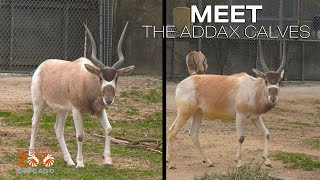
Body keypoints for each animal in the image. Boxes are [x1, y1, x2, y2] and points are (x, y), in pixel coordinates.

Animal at [28, 21, 134, 168]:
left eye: (116, 78)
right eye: (100, 77)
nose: (108, 100)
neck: (88, 81)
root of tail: (41, 66)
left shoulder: (100, 110)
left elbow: (108, 129)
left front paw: (107, 161)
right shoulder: (77, 110)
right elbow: (80, 135)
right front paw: (80, 163)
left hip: (62, 110)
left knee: (58, 129)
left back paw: (69, 161)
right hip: (39, 104)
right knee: (34, 124)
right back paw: (31, 156)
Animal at [166, 40, 286, 168]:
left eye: (279, 81)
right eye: (266, 80)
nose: (273, 98)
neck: (252, 87)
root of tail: (180, 85)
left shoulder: (255, 117)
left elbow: (266, 133)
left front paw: (267, 160)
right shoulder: (240, 115)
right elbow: (241, 137)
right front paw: (239, 162)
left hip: (197, 114)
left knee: (193, 134)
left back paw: (208, 162)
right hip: (185, 112)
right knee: (172, 132)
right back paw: (171, 163)